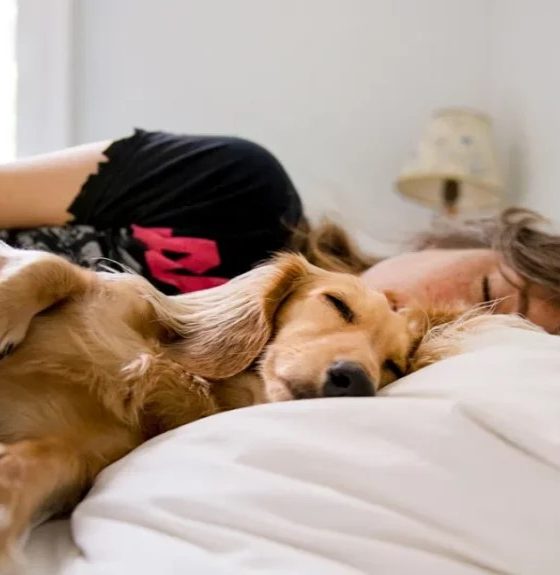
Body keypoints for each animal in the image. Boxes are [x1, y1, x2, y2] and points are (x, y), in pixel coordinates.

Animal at [0, 243, 529, 561]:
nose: (355, 380)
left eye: (393, 365)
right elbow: (51, 267)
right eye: (338, 304)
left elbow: (37, 465)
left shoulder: (86, 454)